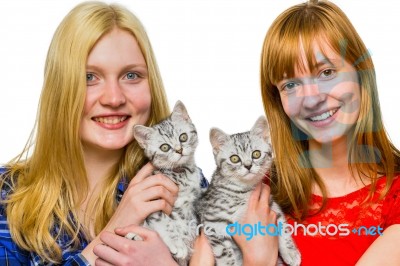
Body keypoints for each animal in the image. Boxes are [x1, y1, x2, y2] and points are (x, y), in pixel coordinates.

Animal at [134, 101, 203, 264]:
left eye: (183, 137)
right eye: (164, 147)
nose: (179, 150)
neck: (181, 173)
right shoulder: (153, 199)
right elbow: (165, 222)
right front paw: (177, 244)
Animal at [197, 117, 300, 266]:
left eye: (256, 154)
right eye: (234, 158)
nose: (248, 165)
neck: (245, 190)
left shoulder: (272, 204)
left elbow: (283, 226)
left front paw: (290, 252)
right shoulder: (213, 222)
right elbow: (225, 253)